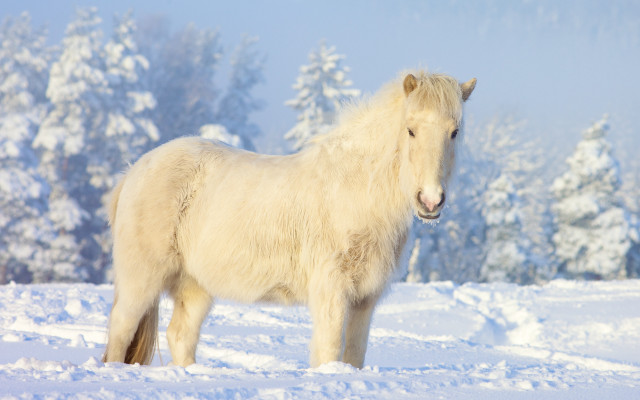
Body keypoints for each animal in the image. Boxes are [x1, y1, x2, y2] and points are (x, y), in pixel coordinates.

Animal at [102, 71, 476, 369]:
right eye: (410, 130)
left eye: (455, 132)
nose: (430, 201)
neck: (355, 189)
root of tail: (133, 171)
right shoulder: (331, 291)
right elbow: (328, 351)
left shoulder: (364, 300)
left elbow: (354, 355)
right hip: (141, 279)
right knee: (120, 329)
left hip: (195, 285)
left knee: (180, 336)